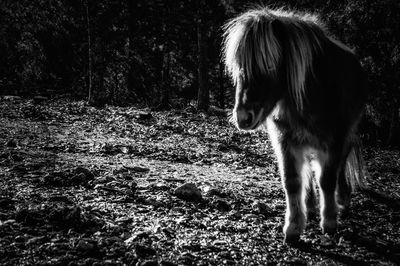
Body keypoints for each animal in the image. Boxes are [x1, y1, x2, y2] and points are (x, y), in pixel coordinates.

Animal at [223, 7, 368, 243]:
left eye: (269, 64)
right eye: (238, 67)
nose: (243, 118)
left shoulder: (335, 141)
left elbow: (327, 179)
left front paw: (329, 221)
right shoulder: (285, 140)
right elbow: (292, 181)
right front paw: (293, 226)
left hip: (347, 136)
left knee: (337, 170)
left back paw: (341, 201)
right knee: (308, 174)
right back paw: (310, 207)